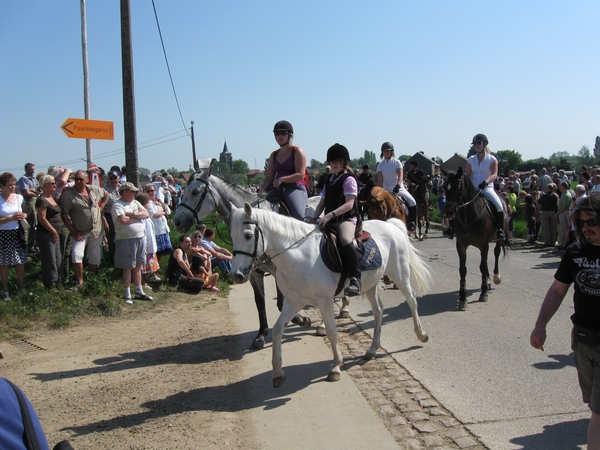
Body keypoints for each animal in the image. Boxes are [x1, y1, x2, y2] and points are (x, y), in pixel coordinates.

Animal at [229, 203, 432, 386]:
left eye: (248, 235)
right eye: (232, 236)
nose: (236, 275)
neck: (299, 255)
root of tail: (390, 225)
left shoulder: (324, 301)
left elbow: (332, 332)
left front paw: (336, 368)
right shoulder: (294, 302)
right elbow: (278, 329)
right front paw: (277, 372)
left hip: (400, 274)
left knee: (412, 301)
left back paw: (421, 334)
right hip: (371, 284)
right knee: (378, 311)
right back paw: (372, 349)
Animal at [442, 167, 508, 312]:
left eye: (458, 186)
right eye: (444, 187)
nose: (448, 213)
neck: (468, 215)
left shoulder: (483, 245)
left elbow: (482, 267)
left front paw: (483, 294)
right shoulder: (461, 245)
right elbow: (463, 269)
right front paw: (462, 298)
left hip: (498, 238)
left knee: (496, 253)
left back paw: (496, 277)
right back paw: (488, 281)